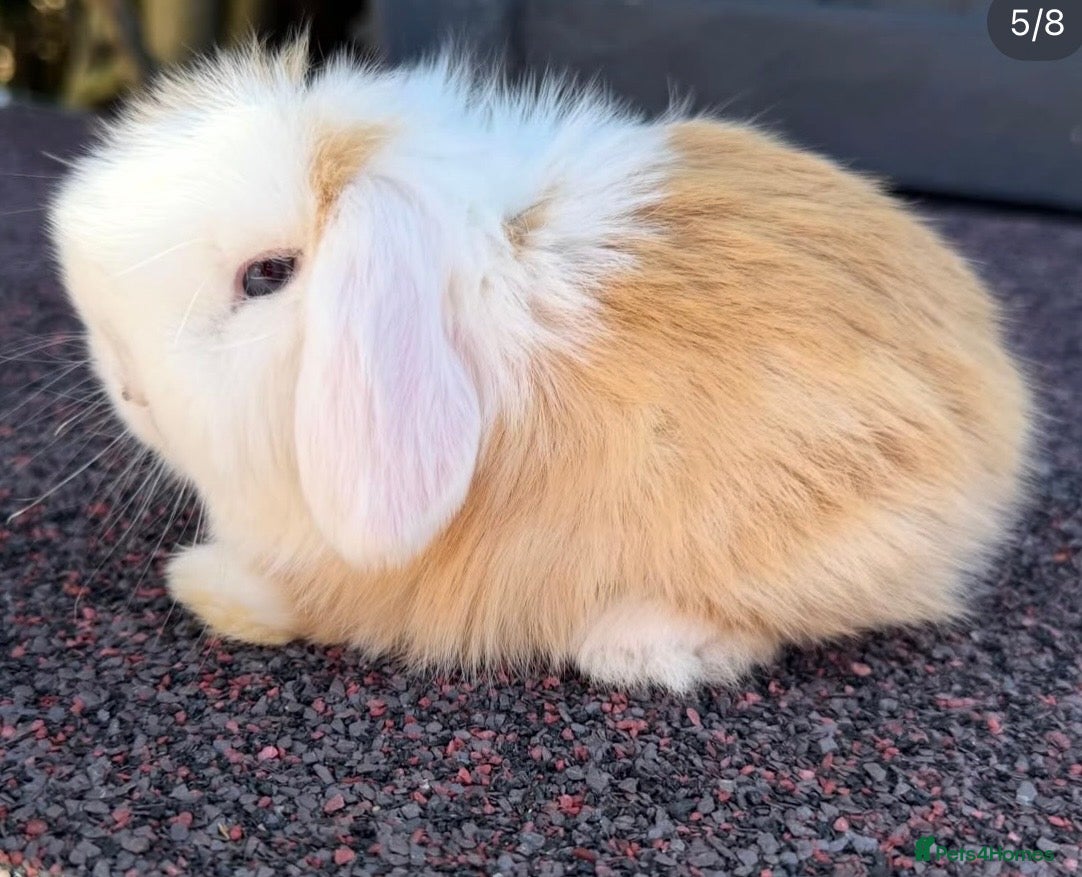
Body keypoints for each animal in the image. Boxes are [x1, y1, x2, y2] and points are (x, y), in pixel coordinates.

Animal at [48, 39, 1033, 692]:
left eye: (266, 275)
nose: (125, 383)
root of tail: (1000, 414)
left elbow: (295, 597)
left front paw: (200, 584)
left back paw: (639, 646)